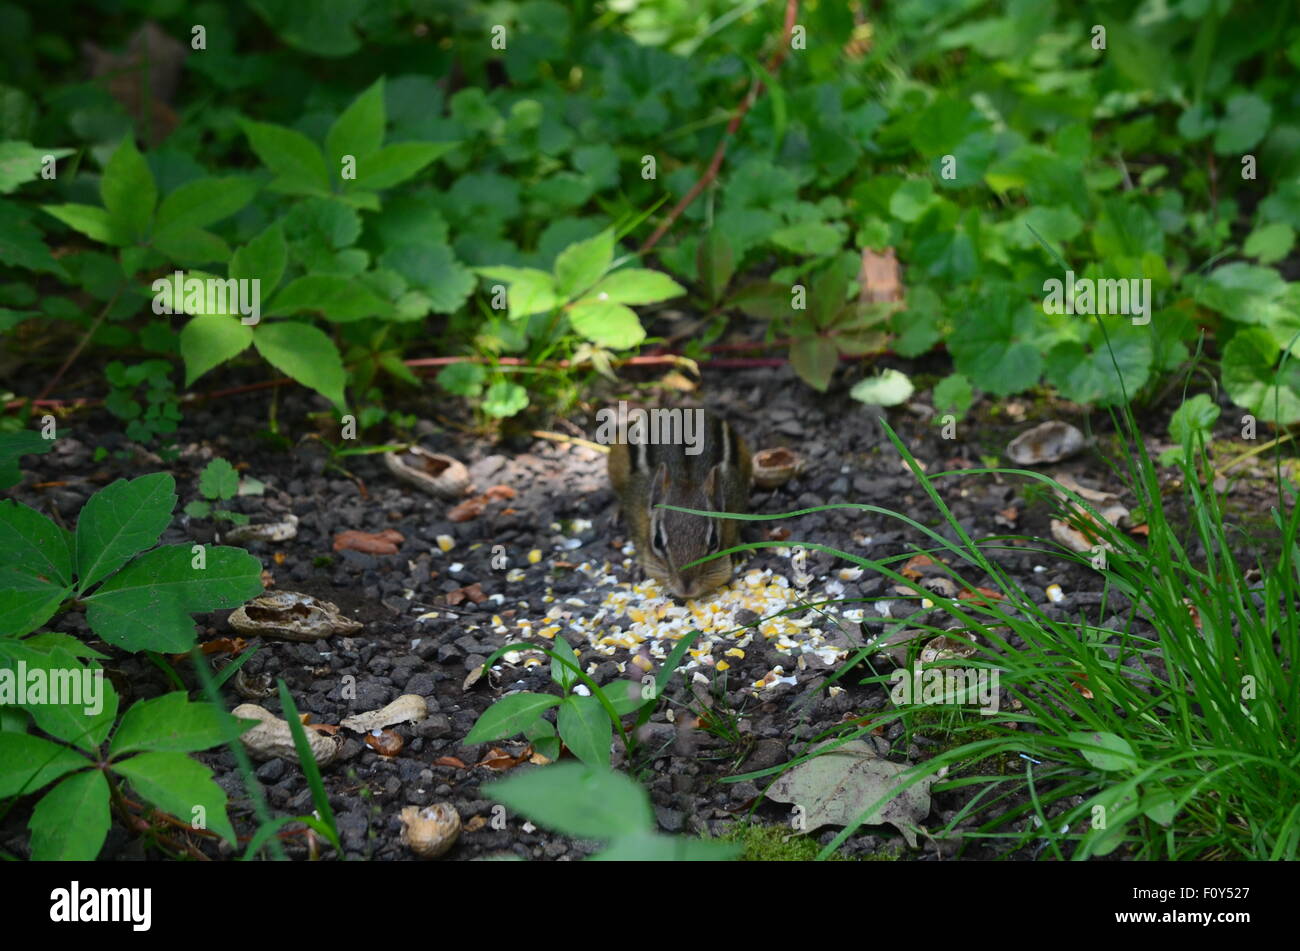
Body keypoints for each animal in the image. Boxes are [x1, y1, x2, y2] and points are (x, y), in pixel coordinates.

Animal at [607, 411, 752, 600]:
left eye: (714, 542)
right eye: (657, 541)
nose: (686, 588)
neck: (686, 477)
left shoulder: (735, 496)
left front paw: (739, 548)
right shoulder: (636, 505)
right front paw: (639, 565)